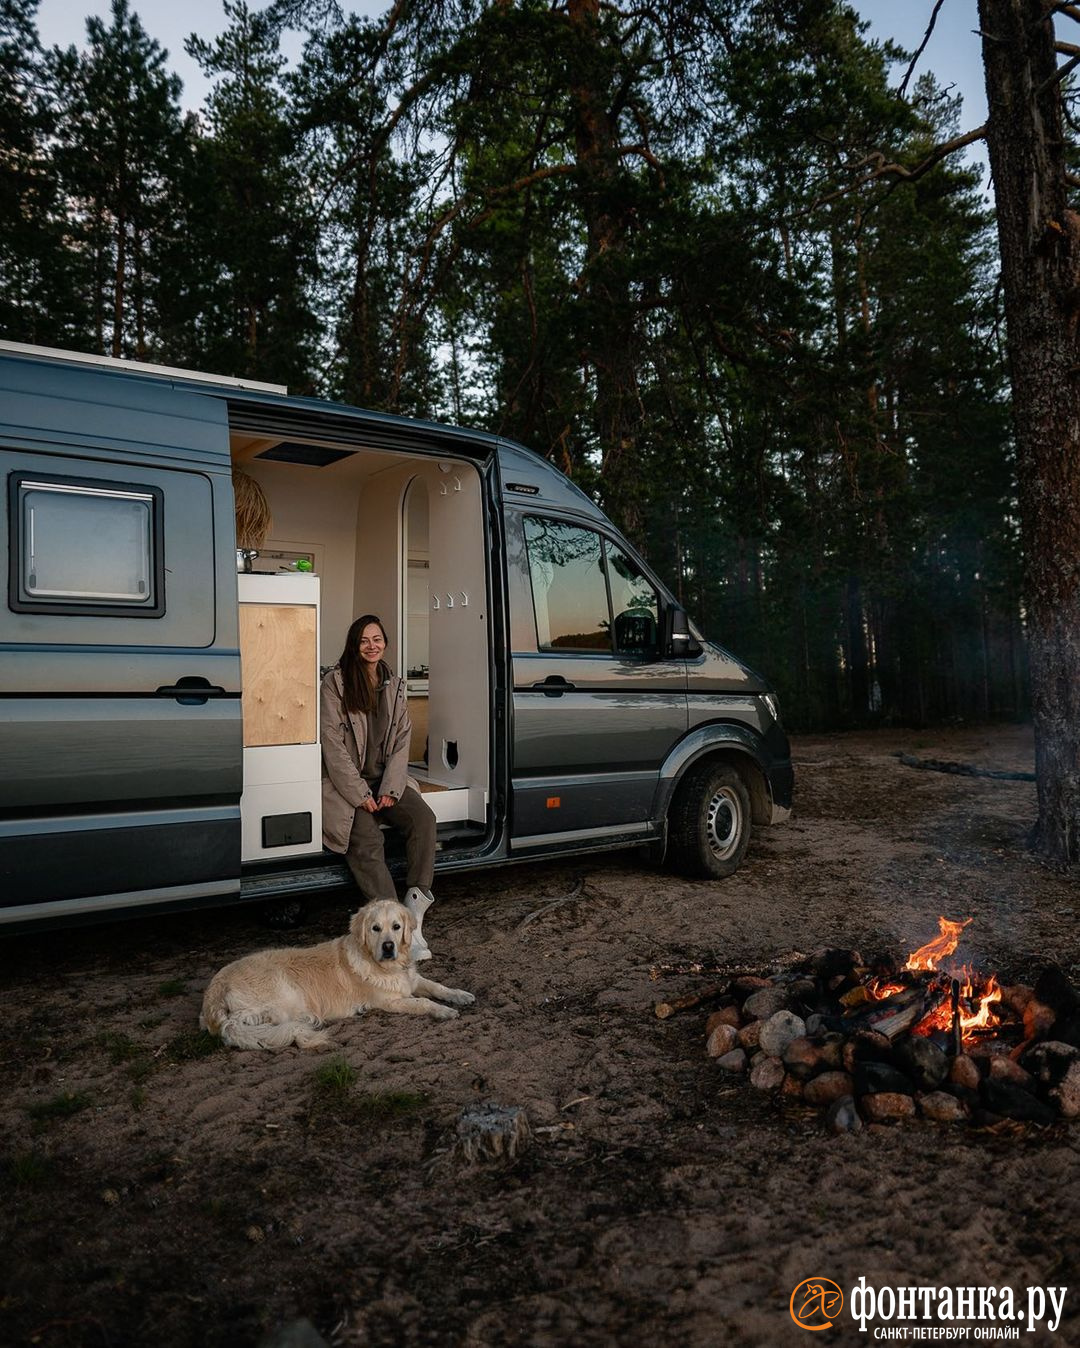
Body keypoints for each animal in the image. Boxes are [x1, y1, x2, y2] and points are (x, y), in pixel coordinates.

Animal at [202, 900, 471, 1046]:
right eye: (375, 928)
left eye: (396, 927)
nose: (388, 947)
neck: (384, 965)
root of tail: (213, 990)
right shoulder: (390, 1001)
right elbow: (423, 1001)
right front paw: (444, 1011)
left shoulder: (411, 980)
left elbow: (438, 987)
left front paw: (461, 995)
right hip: (284, 994)